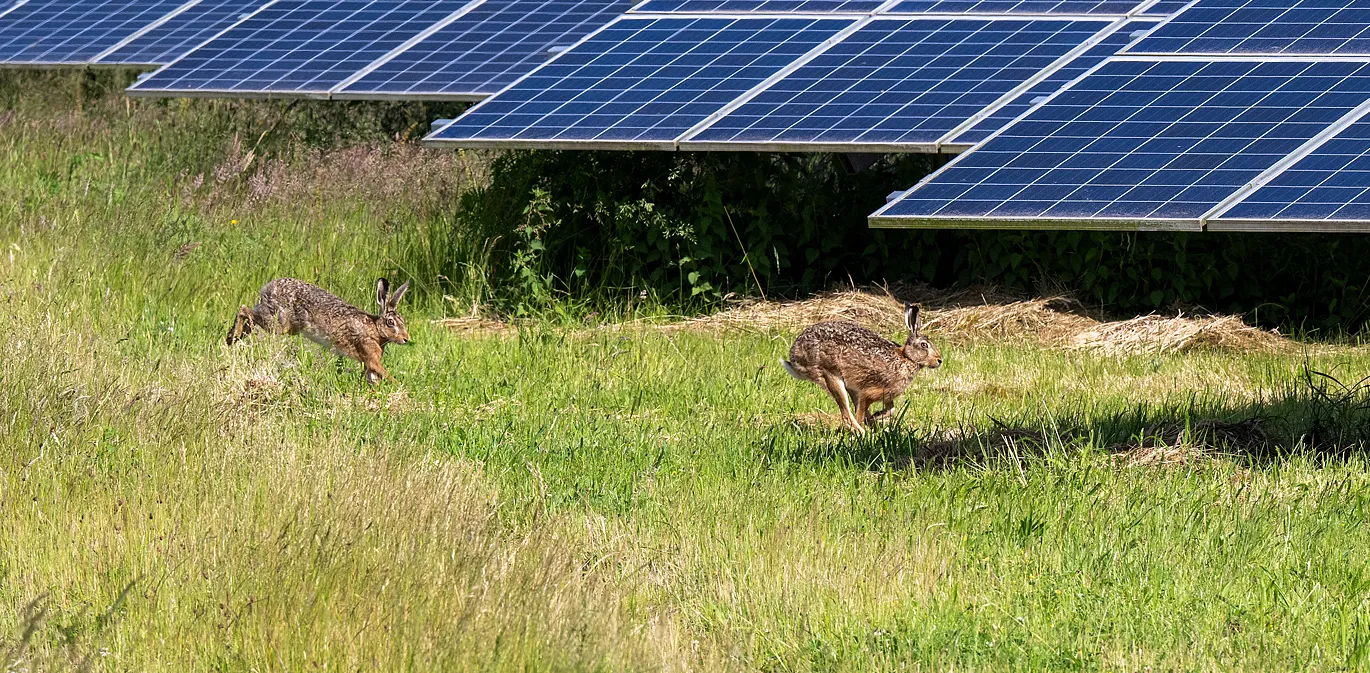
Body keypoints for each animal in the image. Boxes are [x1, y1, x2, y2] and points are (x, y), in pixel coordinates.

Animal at [226, 277, 411, 385]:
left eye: (403, 321)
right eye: (391, 322)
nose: (406, 339)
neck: (375, 329)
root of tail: (267, 288)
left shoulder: (369, 363)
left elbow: (373, 378)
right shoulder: (370, 356)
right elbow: (385, 373)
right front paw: (402, 388)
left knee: (250, 316)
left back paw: (235, 337)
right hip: (279, 324)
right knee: (244, 310)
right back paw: (232, 337)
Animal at [781, 303, 941, 433]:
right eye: (924, 345)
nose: (939, 360)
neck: (906, 358)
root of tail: (795, 356)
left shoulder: (887, 396)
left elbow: (891, 409)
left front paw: (877, 416)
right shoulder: (868, 393)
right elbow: (862, 409)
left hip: (848, 386)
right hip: (831, 376)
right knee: (847, 415)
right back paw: (862, 433)